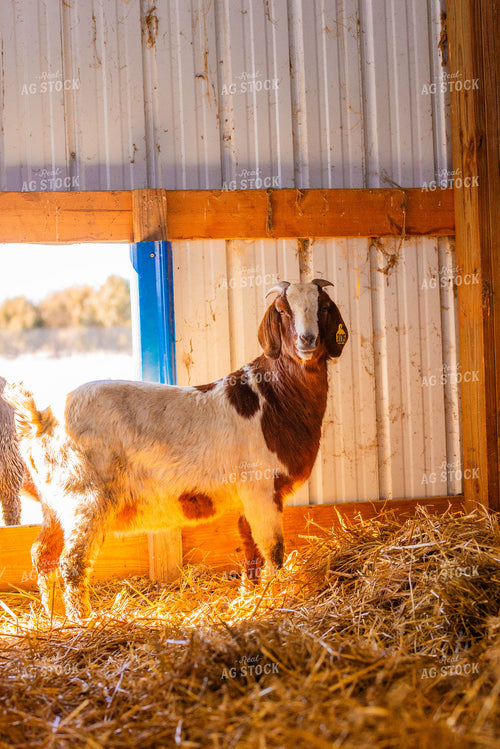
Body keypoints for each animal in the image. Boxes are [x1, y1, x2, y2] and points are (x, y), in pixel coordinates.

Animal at [4, 279, 348, 621]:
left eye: (324, 307)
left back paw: (53, 617)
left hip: (54, 503)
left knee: (42, 554)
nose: (308, 340)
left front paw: (249, 598)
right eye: (282, 310)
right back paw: (83, 621)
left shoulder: (246, 498)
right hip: (84, 499)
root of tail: (41, 419)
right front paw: (277, 599)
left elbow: (250, 548)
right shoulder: (261, 488)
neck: (274, 396)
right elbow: (273, 550)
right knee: (72, 564)